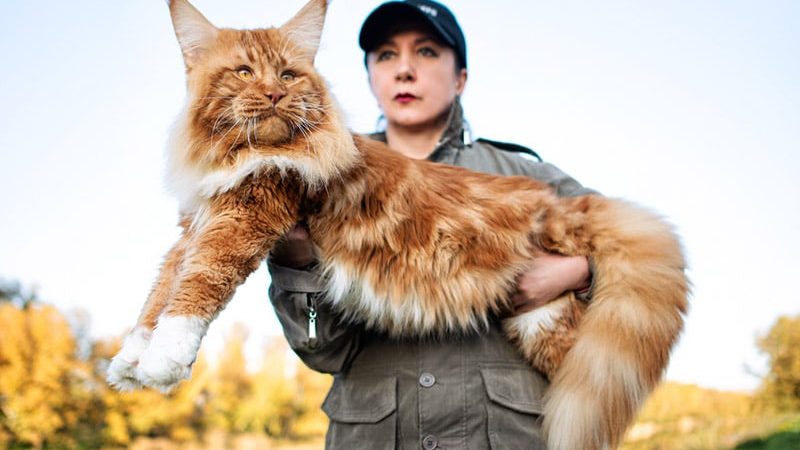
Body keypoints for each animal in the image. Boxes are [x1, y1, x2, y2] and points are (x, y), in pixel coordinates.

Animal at [108, 1, 688, 448]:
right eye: (245, 72)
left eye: (289, 75)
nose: (275, 94)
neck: (240, 153)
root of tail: (558, 201)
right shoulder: (197, 220)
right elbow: (160, 290)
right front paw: (130, 358)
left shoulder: (248, 211)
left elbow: (197, 287)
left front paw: (163, 361)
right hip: (542, 325)